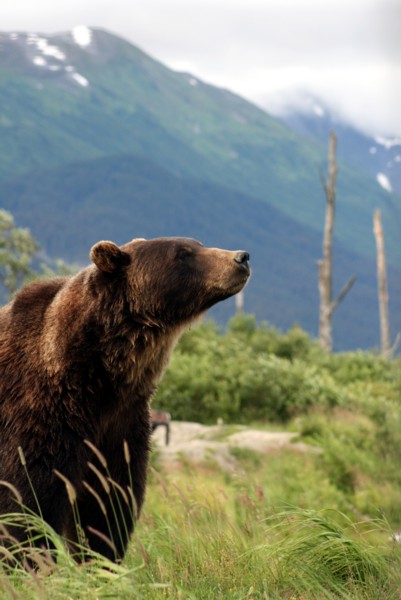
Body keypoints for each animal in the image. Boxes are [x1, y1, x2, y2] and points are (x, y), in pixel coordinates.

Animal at [0, 236, 250, 564]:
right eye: (183, 253)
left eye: (197, 244)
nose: (241, 257)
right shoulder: (38, 415)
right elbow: (26, 504)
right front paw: (30, 562)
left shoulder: (119, 426)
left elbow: (108, 505)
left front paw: (100, 561)